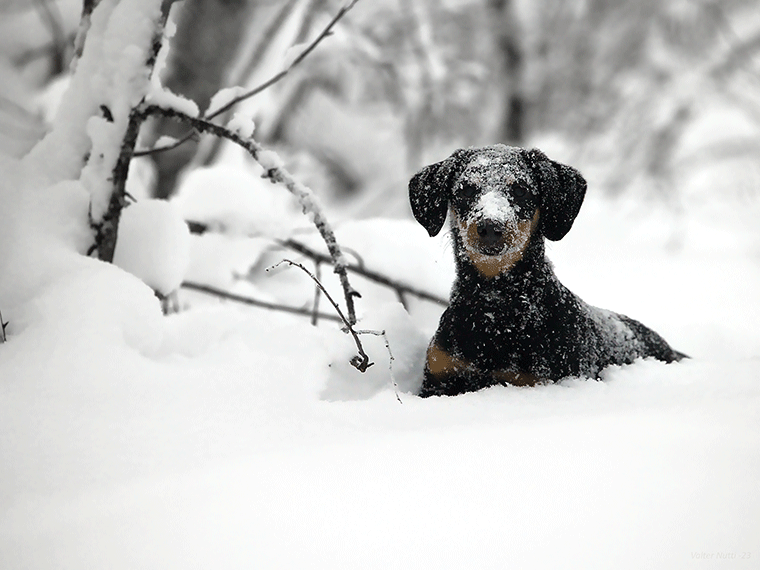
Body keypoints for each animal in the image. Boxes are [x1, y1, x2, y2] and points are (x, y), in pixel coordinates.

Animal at [412, 144, 684, 398]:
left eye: (520, 189)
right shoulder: (441, 375)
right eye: (466, 189)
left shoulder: (536, 379)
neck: (496, 310)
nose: (490, 226)